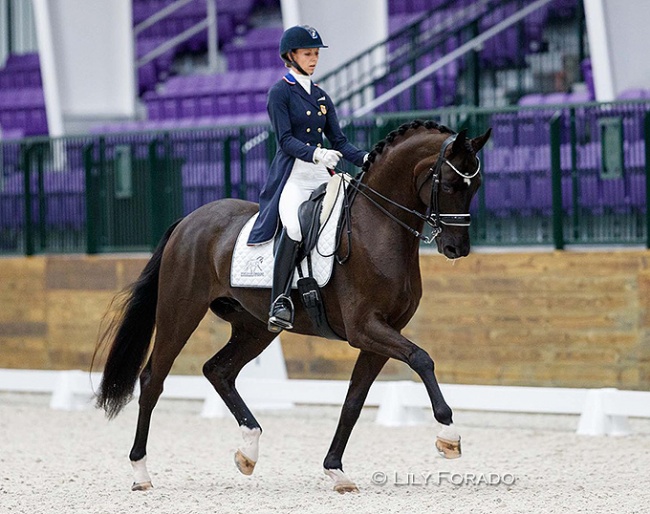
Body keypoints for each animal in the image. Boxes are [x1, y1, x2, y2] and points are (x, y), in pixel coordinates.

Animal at [95, 119, 492, 492]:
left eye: (476, 186)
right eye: (450, 185)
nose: (457, 249)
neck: (375, 228)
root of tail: (188, 220)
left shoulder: (381, 335)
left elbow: (354, 401)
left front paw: (336, 471)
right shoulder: (365, 328)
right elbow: (422, 359)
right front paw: (449, 433)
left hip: (254, 327)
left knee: (218, 370)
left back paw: (249, 450)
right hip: (180, 313)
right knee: (153, 379)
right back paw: (141, 472)